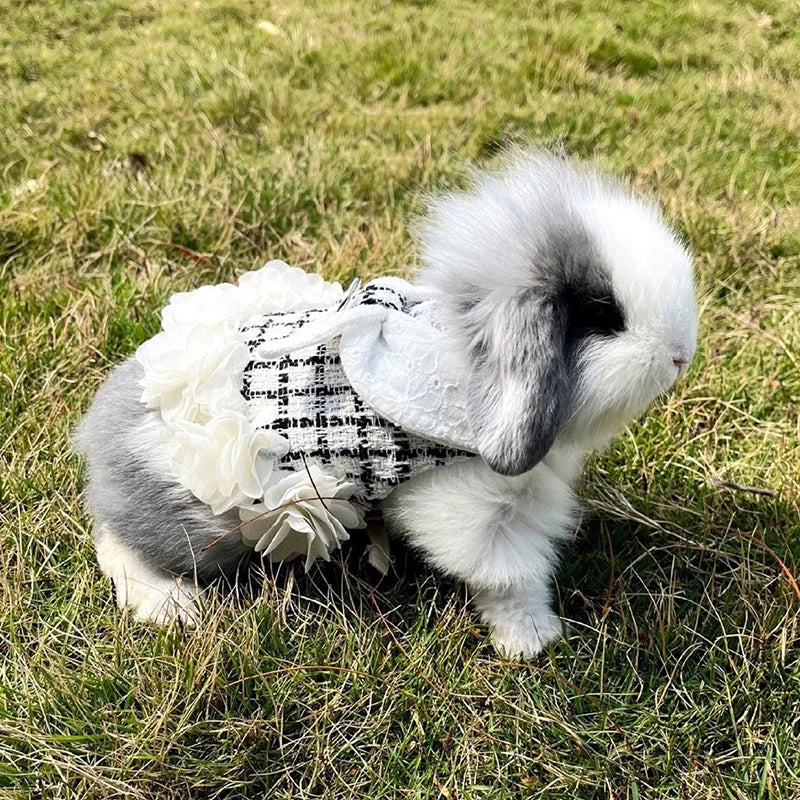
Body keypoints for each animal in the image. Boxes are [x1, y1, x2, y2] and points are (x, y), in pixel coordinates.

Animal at [74, 149, 697, 655]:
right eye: (601, 312)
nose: (680, 355)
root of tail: (98, 433)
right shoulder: (470, 510)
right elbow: (509, 575)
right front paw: (531, 639)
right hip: (210, 520)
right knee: (120, 544)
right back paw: (172, 607)